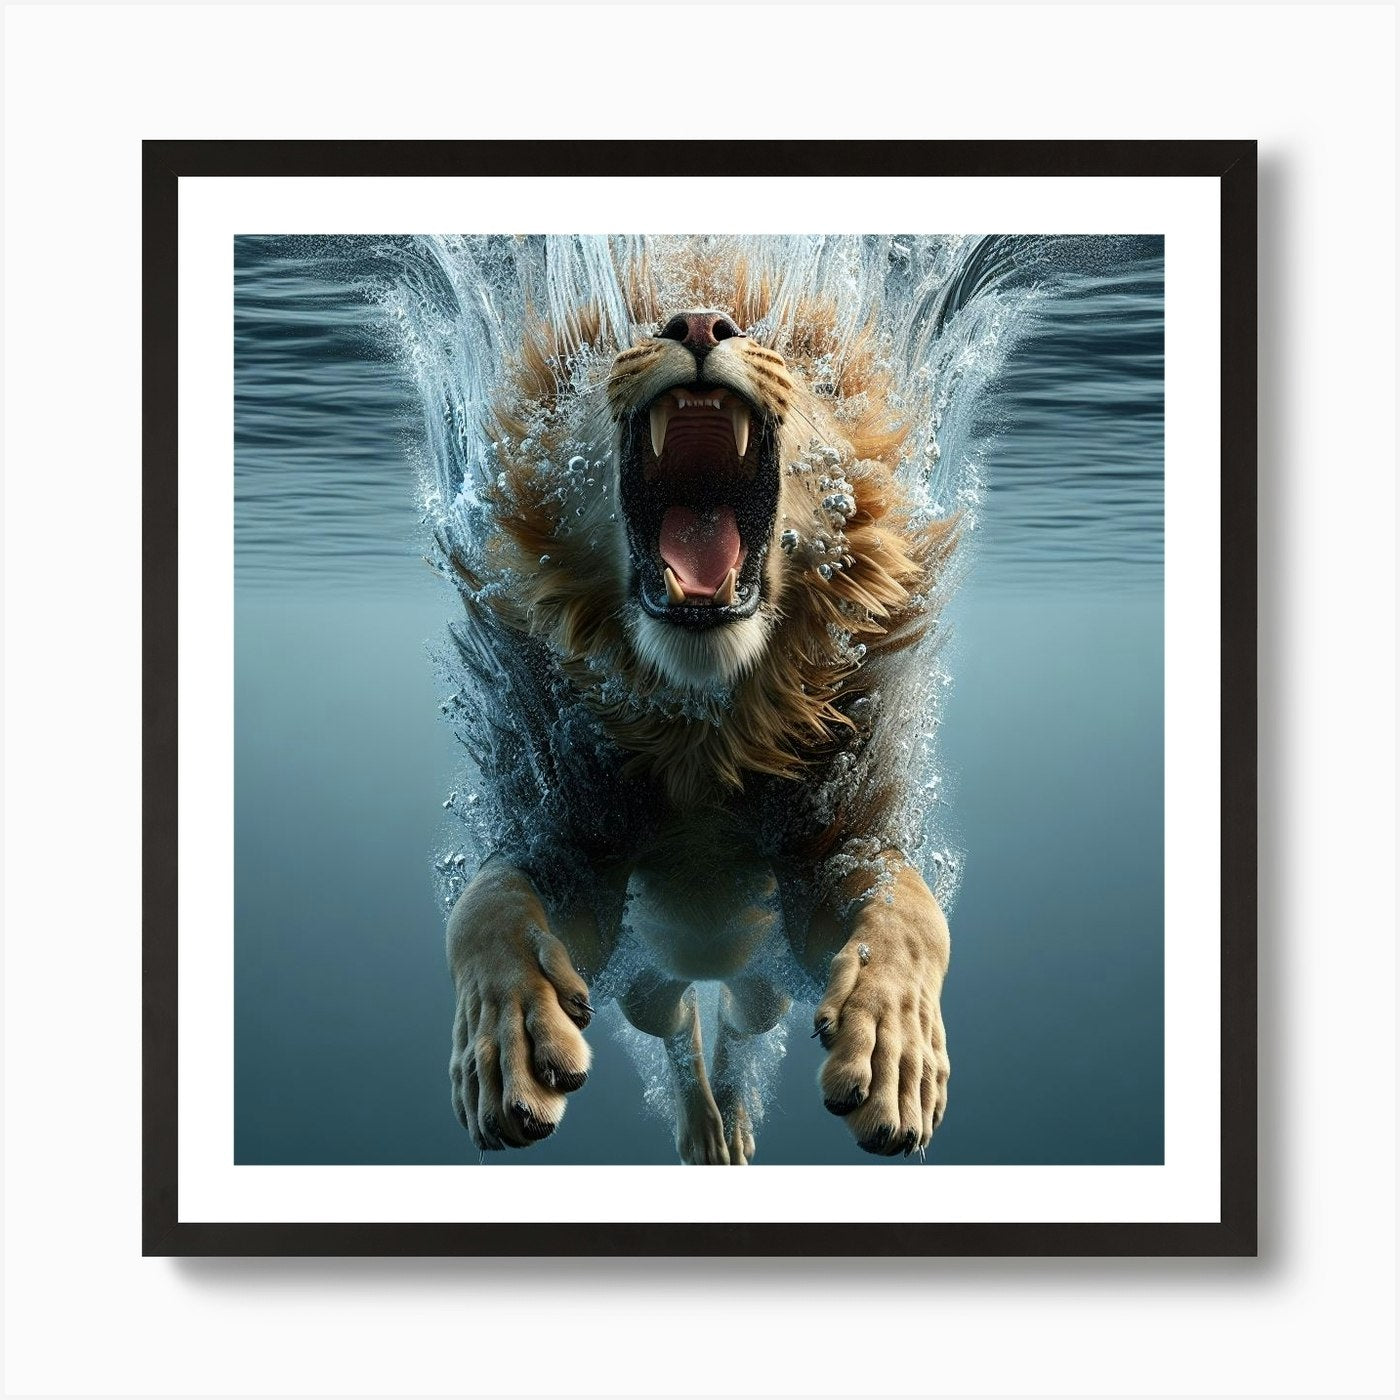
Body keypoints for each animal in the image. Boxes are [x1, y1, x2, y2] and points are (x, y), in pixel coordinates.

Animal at [440, 247, 958, 1164]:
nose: (700, 325)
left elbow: (911, 910)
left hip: (762, 977)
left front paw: (896, 1048)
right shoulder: (572, 842)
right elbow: (487, 903)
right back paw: (703, 1125)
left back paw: (735, 1118)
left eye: (786, 351)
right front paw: (505, 1039)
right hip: (643, 979)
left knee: (743, 1022)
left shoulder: (830, 848)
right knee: (677, 1019)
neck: (702, 723)